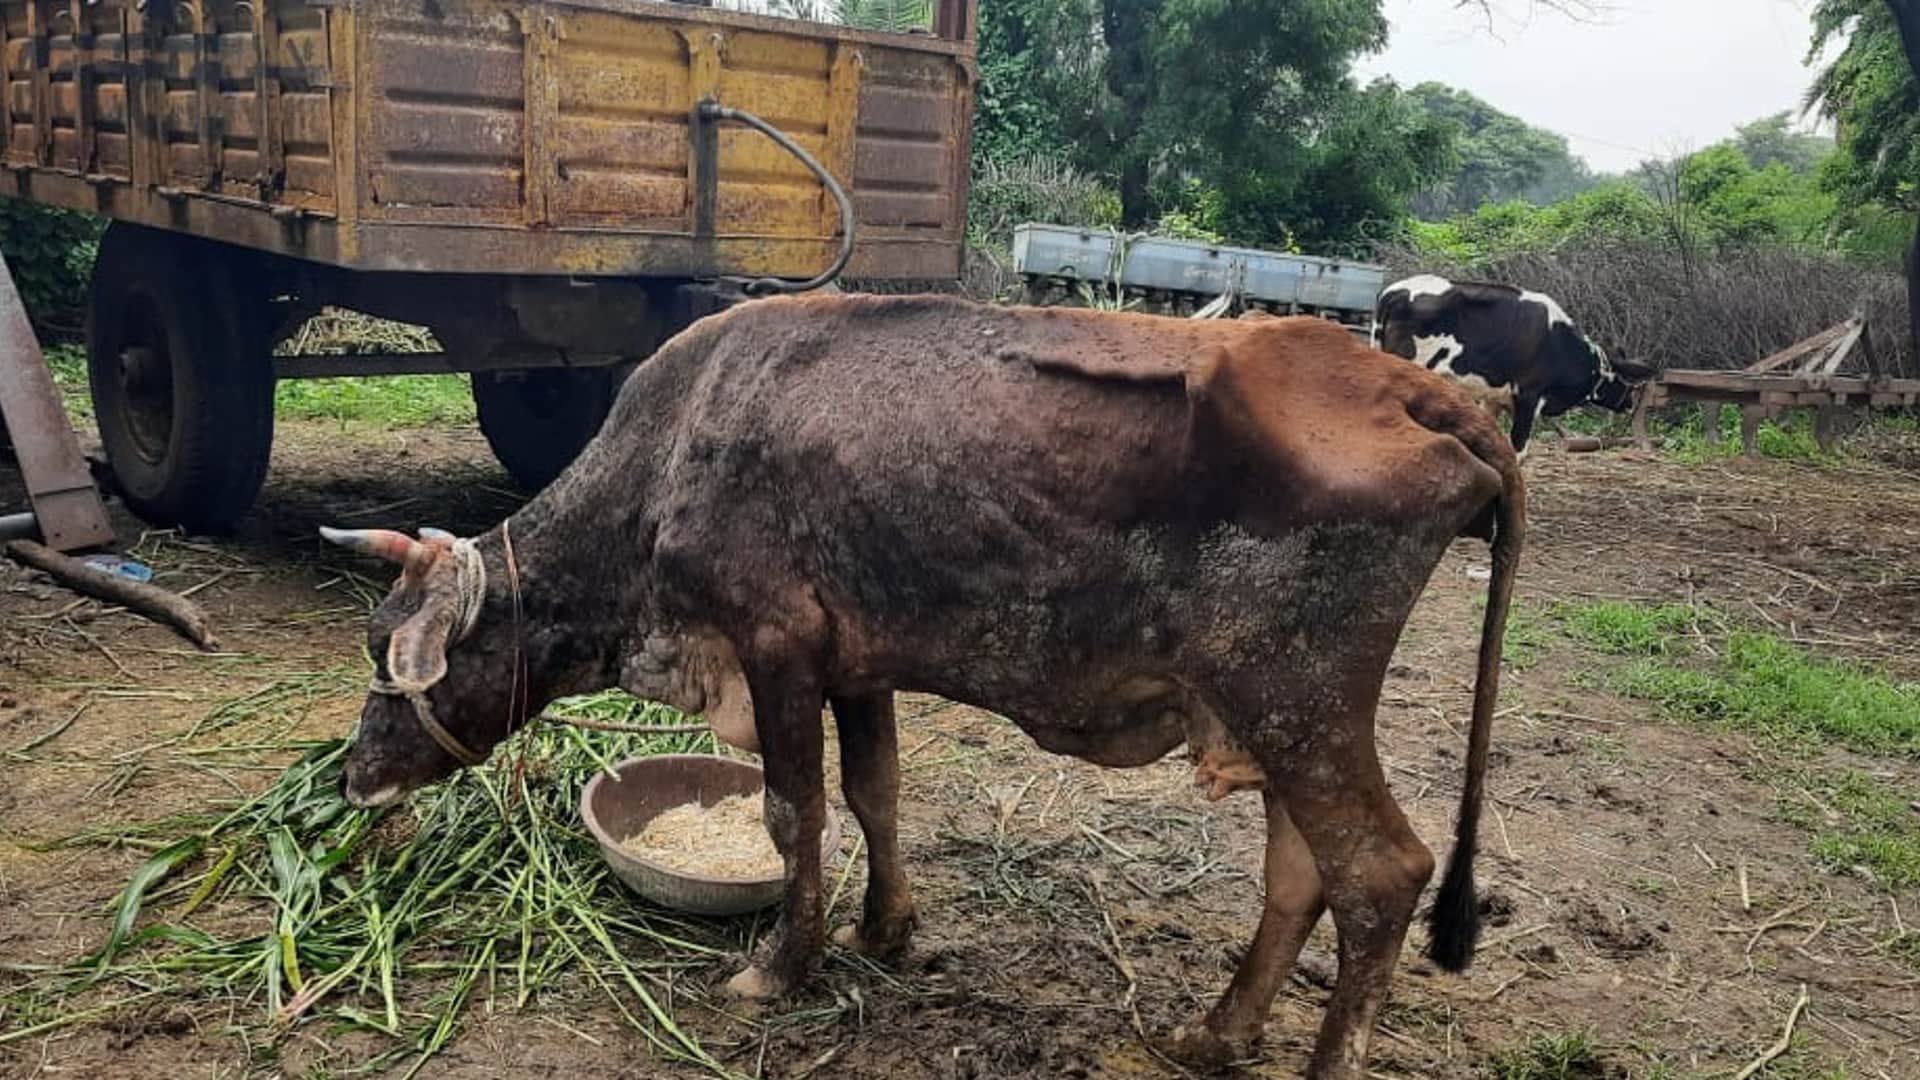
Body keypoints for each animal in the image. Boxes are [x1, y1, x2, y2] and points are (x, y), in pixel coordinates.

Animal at [320, 295, 1524, 1079]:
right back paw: (1216, 1033)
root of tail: (1424, 392)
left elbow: (792, 811)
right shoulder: (857, 661)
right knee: (1300, 873)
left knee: (1380, 874)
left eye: (386, 652)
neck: (667, 462)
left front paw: (784, 965)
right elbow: (874, 795)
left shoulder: (777, 644)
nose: (352, 783)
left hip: (1296, 700)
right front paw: (886, 929)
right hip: (1272, 717)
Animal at [1374, 274, 1656, 456]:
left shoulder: (1495, 399)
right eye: (1626, 381)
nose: (1630, 402)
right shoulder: (1528, 397)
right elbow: (1518, 450)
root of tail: (1394, 291)